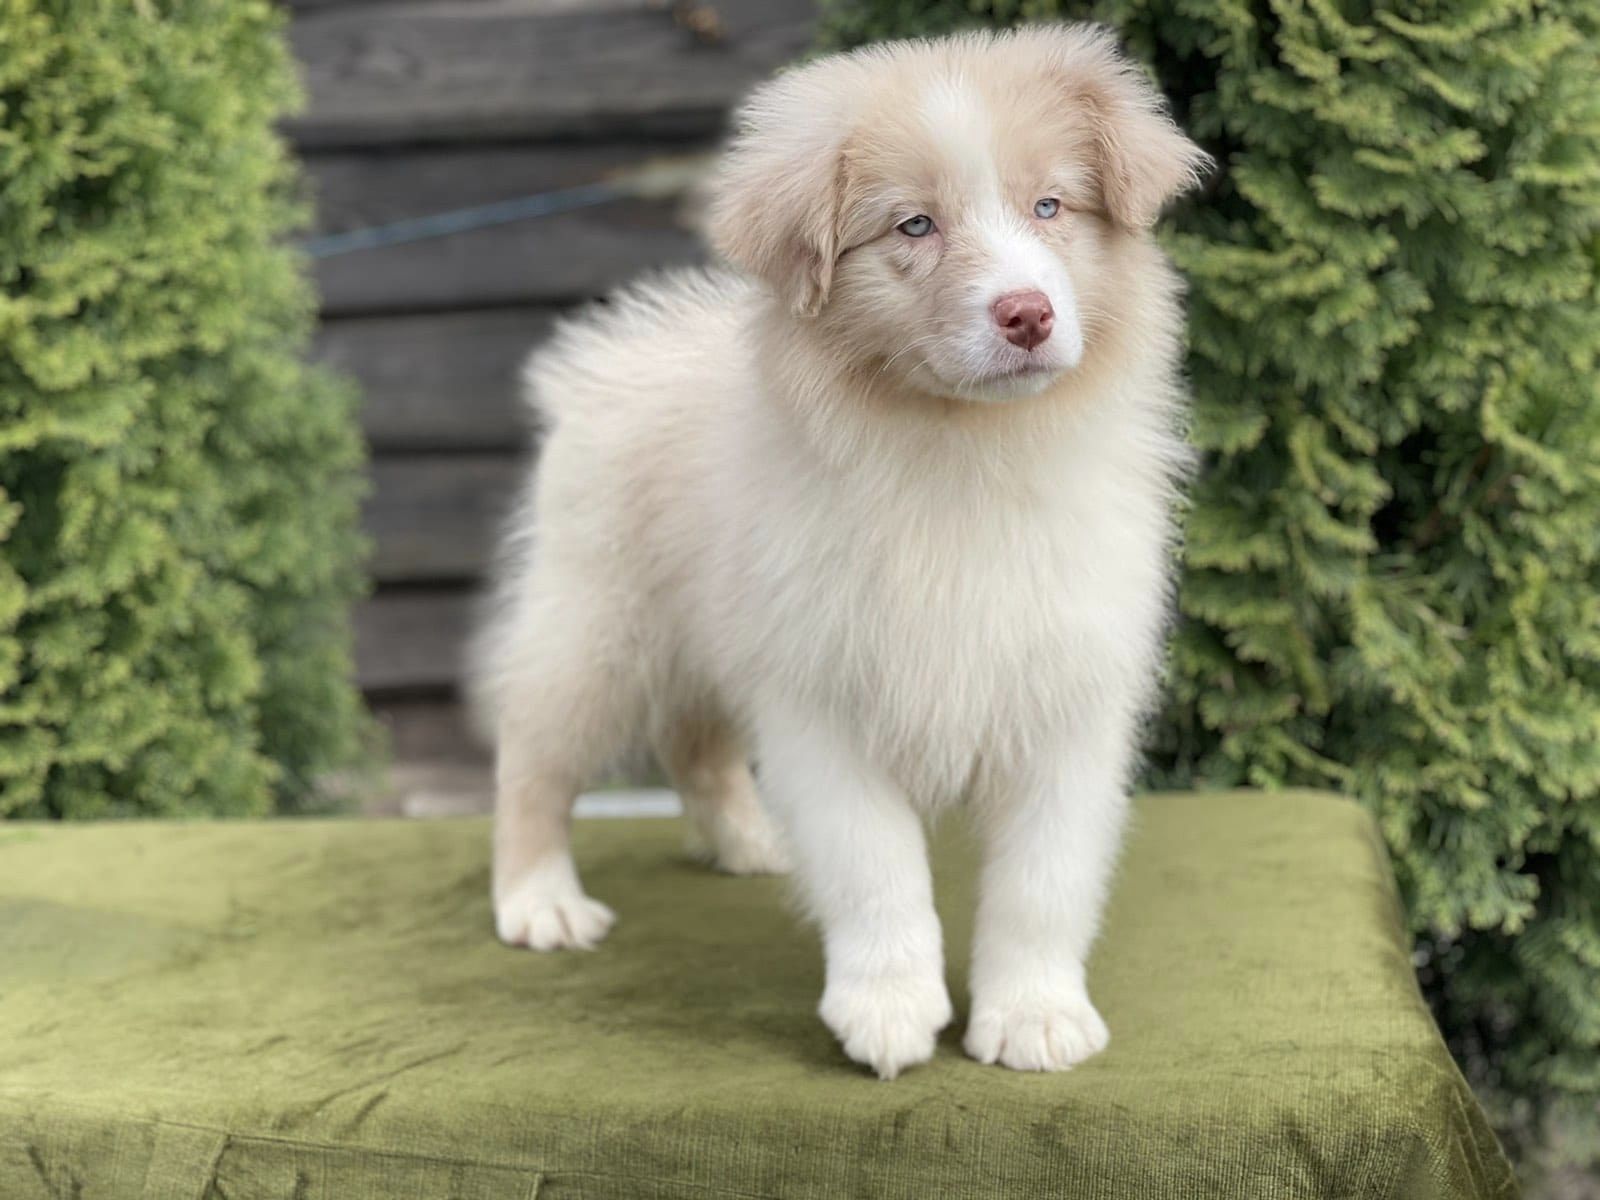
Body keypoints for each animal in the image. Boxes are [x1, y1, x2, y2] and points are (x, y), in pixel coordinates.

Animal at [467, 25, 1203, 1081]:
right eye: (913, 227)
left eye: (1051, 206)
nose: (1027, 313)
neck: (961, 452)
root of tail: (611, 360)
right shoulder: (825, 696)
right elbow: (874, 870)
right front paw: (888, 1010)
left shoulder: (1064, 699)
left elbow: (1042, 881)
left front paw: (1034, 1015)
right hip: (600, 625)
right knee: (533, 749)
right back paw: (539, 900)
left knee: (695, 742)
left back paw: (750, 843)